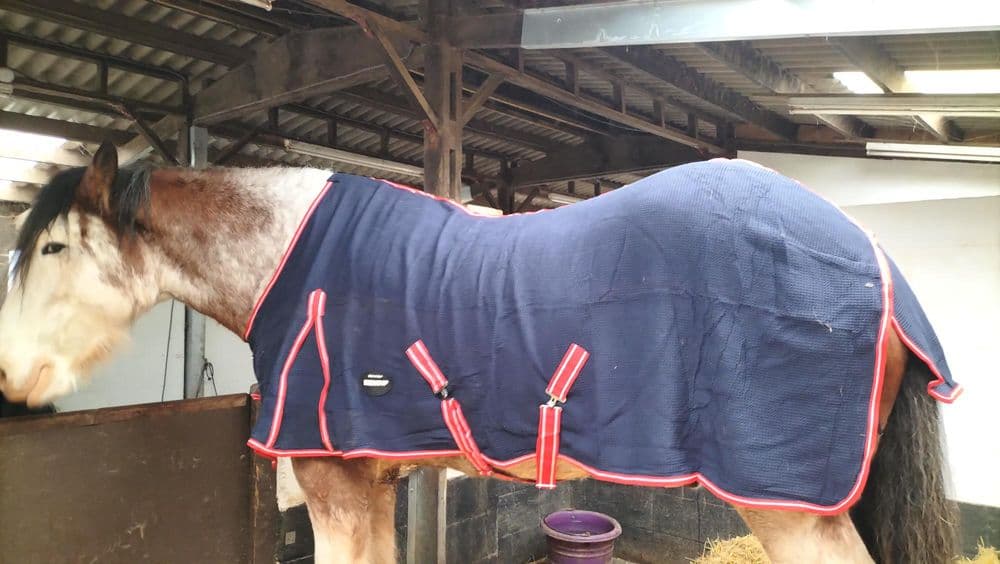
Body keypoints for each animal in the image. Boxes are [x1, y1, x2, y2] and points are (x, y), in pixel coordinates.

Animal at [0, 141, 961, 564]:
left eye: (51, 247)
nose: (10, 377)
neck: (292, 259)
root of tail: (873, 256)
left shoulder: (333, 490)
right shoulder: (374, 488)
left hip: (789, 506)